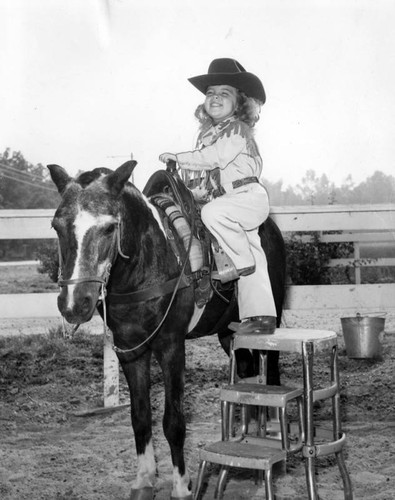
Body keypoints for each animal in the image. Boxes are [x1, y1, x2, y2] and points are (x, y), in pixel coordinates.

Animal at [48, 161, 286, 500]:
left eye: (109, 228)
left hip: (272, 318)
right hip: (228, 334)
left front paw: (181, 486)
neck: (146, 264)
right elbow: (140, 417)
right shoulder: (130, 350)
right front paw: (144, 480)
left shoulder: (171, 346)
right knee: (247, 371)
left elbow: (173, 421)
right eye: (57, 226)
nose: (74, 303)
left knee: (273, 372)